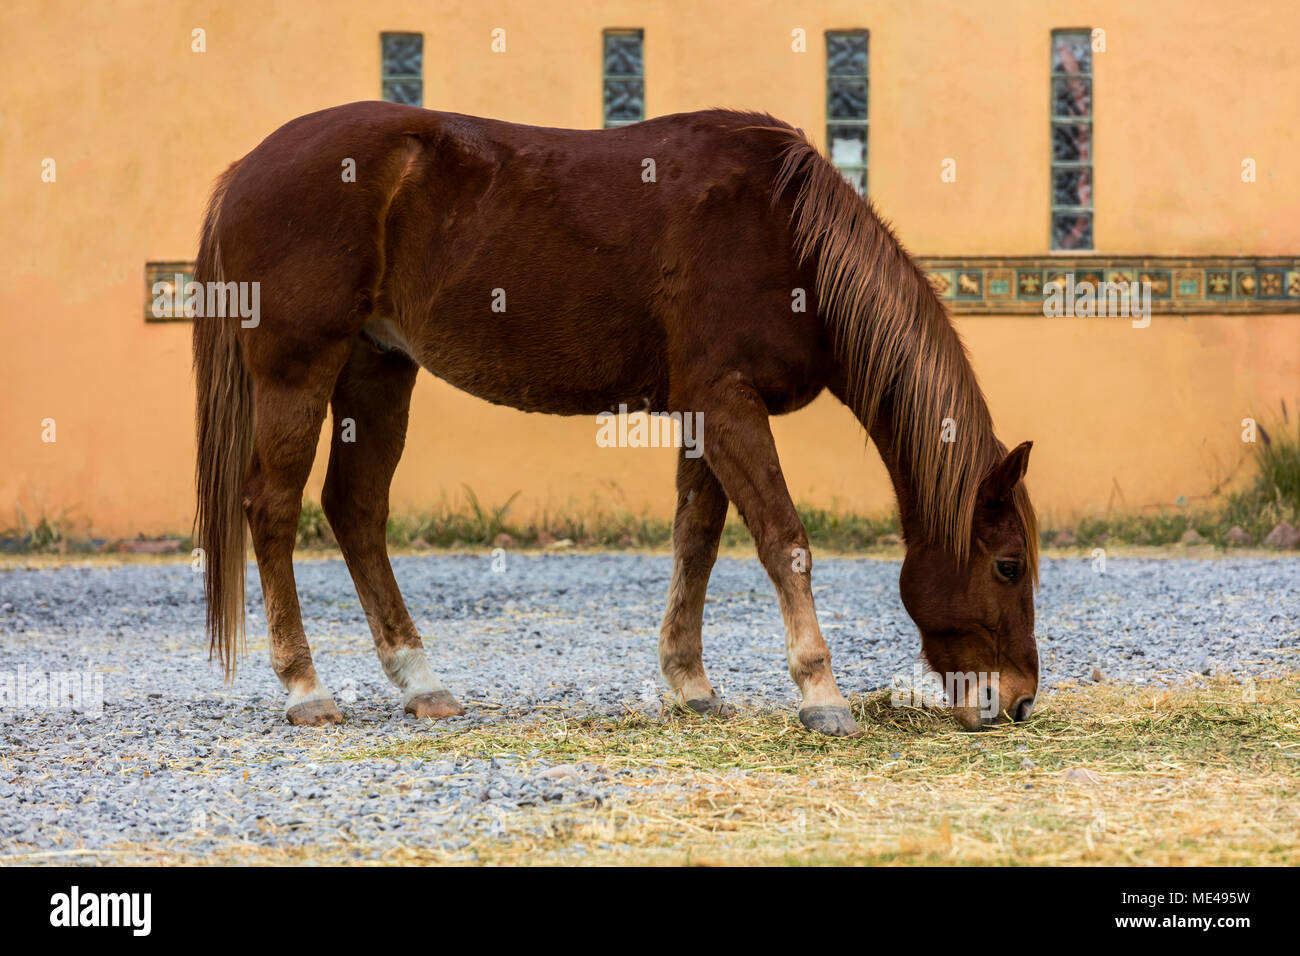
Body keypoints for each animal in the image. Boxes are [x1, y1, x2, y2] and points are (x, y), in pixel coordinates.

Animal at [192, 98, 1040, 738]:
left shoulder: (707, 413)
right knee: (272, 510)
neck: (786, 236)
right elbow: (784, 541)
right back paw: (306, 689)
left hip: (378, 370)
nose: (1020, 699)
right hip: (297, 371)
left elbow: (697, 542)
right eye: (1009, 565)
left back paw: (421, 681)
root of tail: (244, 171)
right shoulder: (728, 404)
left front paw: (691, 684)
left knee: (356, 509)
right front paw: (821, 696)